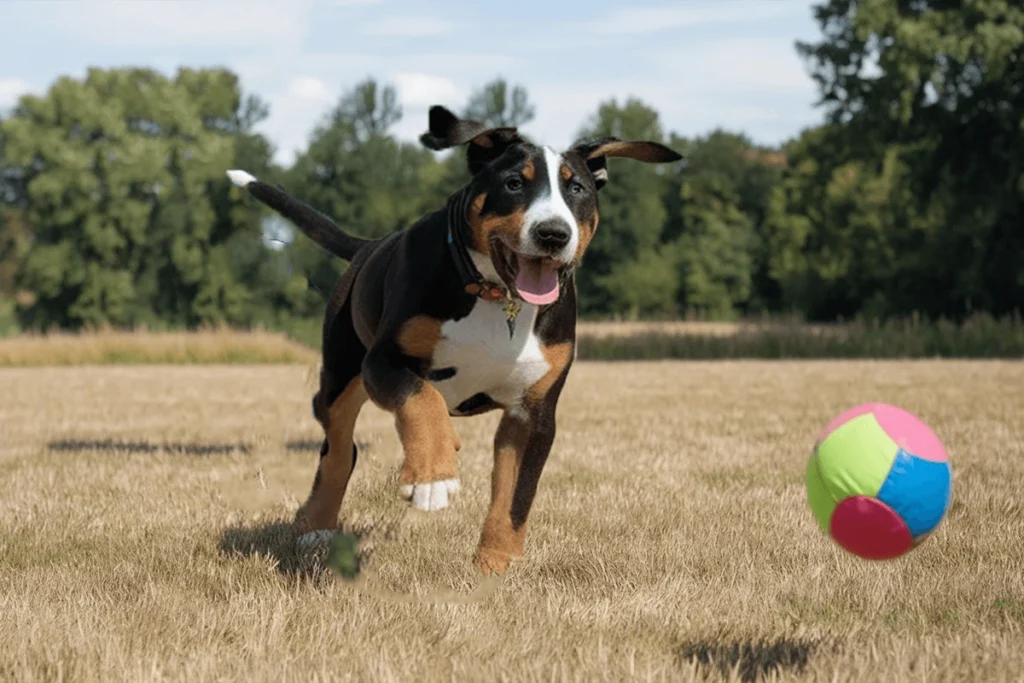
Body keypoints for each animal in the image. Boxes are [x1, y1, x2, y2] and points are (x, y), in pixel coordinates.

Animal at [228, 105, 684, 577]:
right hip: (341, 376)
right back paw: (316, 526)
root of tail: (368, 248)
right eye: (514, 183)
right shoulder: (385, 362)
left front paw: (495, 565)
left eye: (575, 188)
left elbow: (515, 497)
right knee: (338, 447)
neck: (498, 299)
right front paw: (432, 477)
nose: (553, 233)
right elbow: (421, 396)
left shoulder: (534, 412)